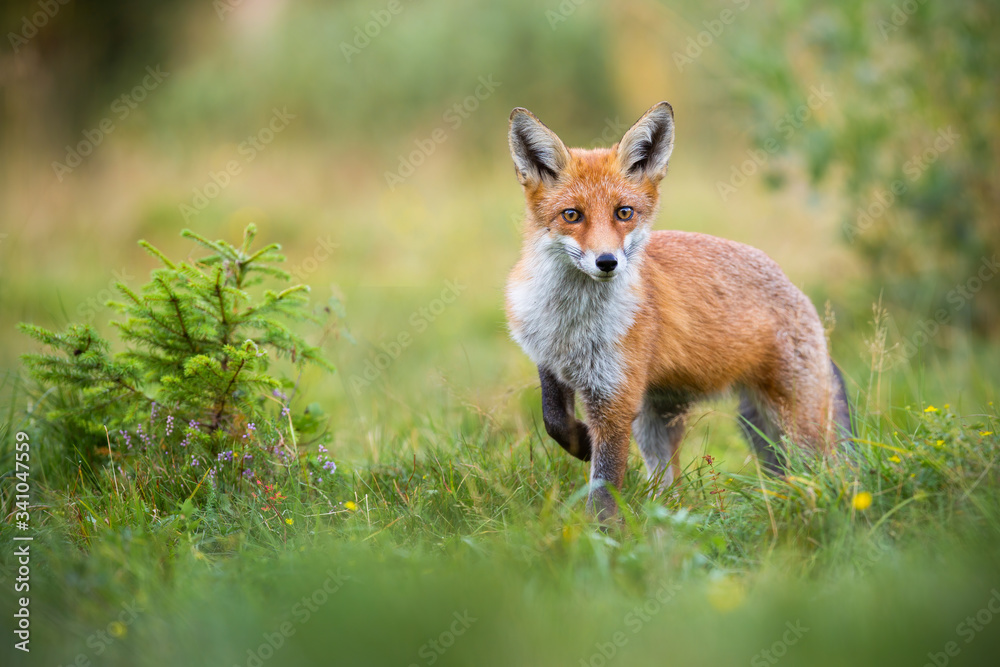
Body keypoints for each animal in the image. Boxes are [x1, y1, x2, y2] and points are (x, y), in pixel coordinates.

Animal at [504, 102, 848, 520]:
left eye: (624, 212)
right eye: (572, 215)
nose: (607, 262)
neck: (572, 323)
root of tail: (795, 288)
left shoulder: (615, 398)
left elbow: (603, 486)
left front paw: (599, 532)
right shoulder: (551, 363)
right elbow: (554, 420)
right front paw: (582, 444)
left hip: (795, 425)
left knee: (827, 470)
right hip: (668, 421)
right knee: (671, 485)